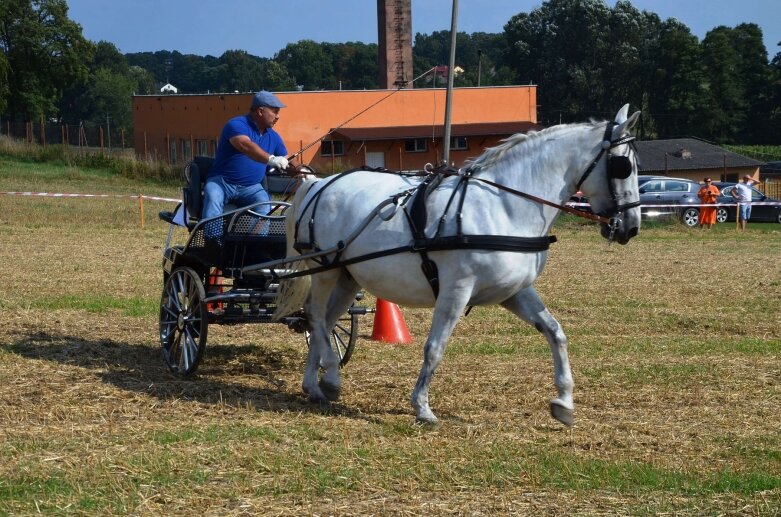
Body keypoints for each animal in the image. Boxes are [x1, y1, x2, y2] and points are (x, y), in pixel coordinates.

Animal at [274, 104, 640, 424]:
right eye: (623, 166)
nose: (631, 227)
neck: (504, 206)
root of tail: (319, 183)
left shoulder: (515, 291)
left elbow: (555, 332)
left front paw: (564, 402)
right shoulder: (457, 289)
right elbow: (435, 347)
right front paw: (422, 407)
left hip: (349, 276)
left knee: (324, 321)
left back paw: (315, 384)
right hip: (325, 268)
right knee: (316, 315)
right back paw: (331, 377)